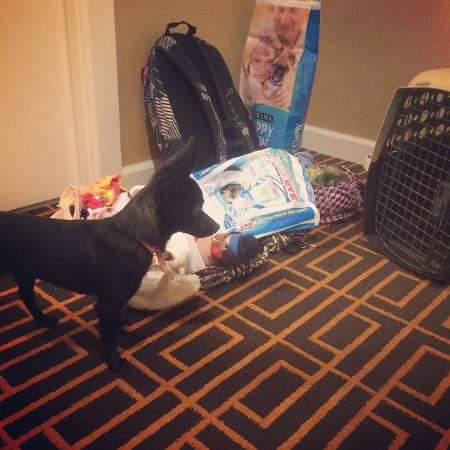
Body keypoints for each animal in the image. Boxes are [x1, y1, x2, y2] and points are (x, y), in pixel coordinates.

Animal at [0, 137, 219, 372]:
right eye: (196, 209)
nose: (217, 226)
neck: (133, 235)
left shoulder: (112, 303)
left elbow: (115, 320)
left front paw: (120, 325)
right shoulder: (107, 305)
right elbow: (108, 337)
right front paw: (115, 362)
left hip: (26, 272)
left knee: (26, 295)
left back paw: (43, 320)